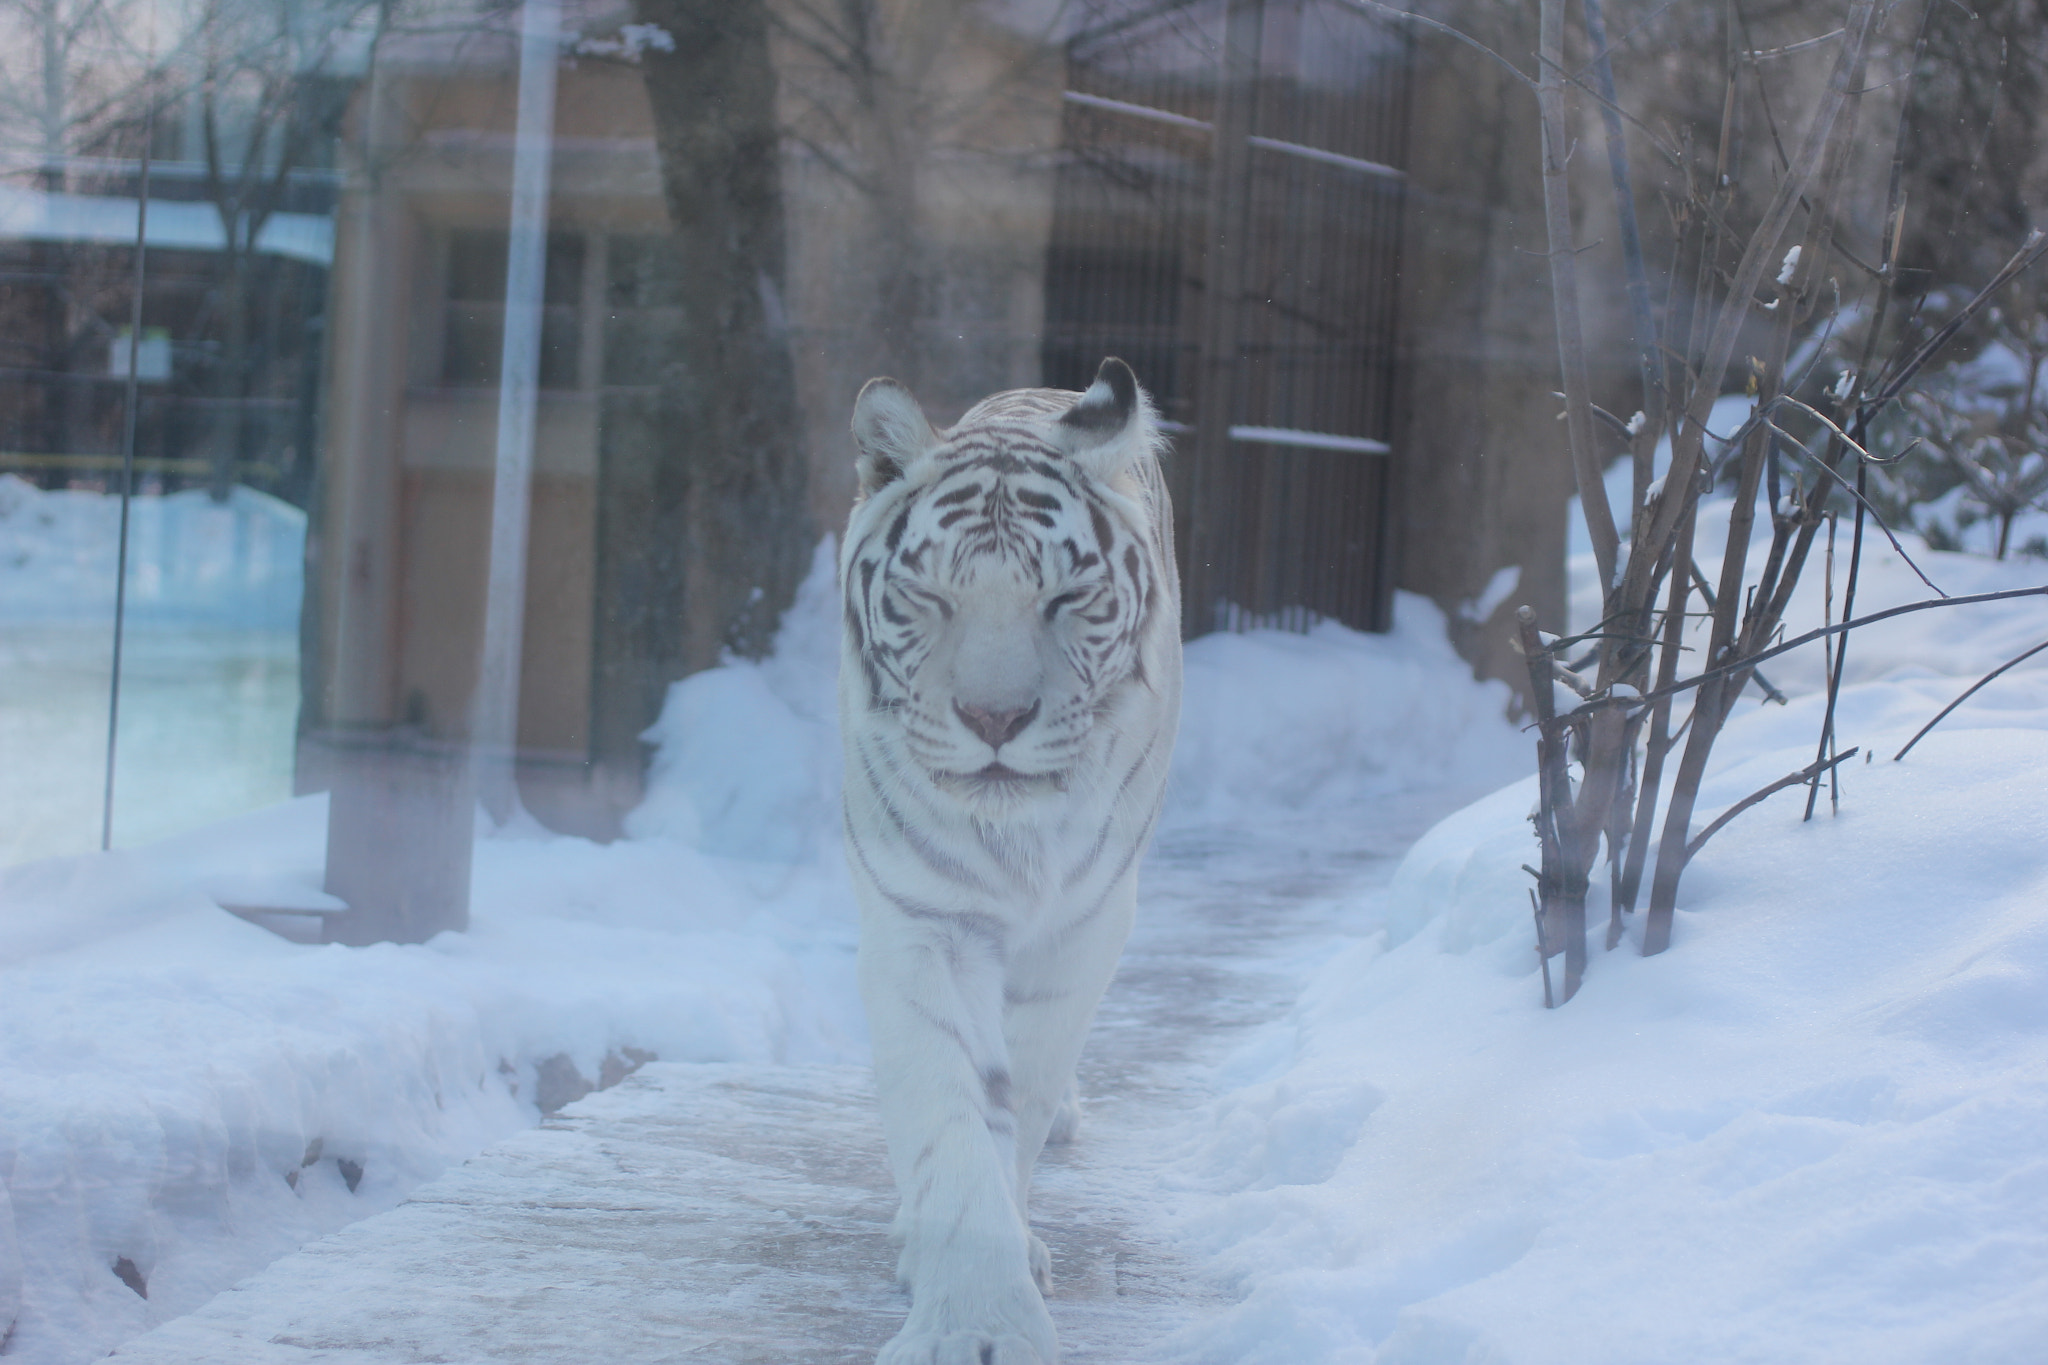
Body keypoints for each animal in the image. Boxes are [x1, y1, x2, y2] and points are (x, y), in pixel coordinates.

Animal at [835, 358, 1187, 1358]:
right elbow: (951, 1110)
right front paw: (973, 1319)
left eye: (1065, 600)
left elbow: (1021, 1088)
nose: (994, 719)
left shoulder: (1086, 926)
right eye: (931, 597)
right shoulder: (924, 920)